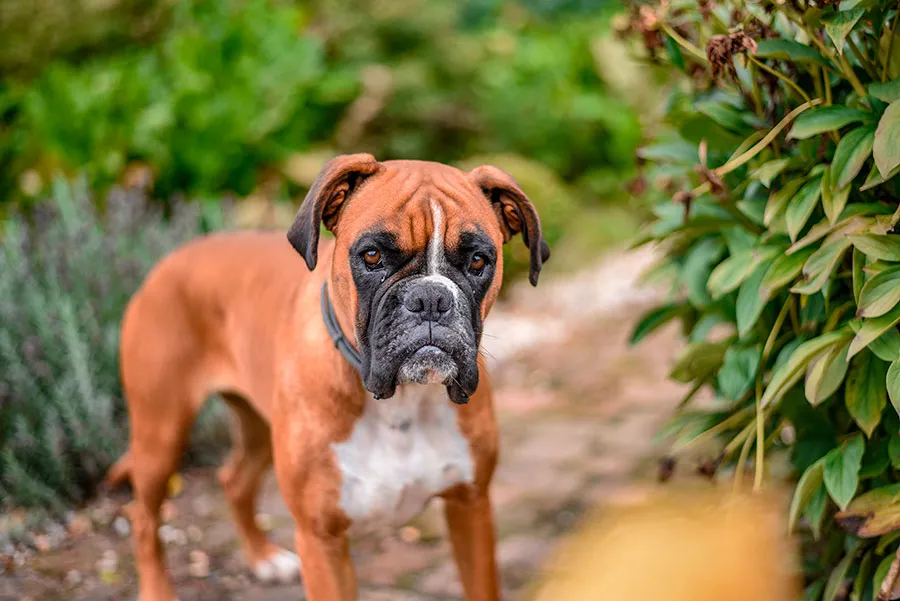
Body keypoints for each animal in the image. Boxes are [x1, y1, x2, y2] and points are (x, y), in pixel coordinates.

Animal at [109, 155, 552, 600]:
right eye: (371, 255)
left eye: (478, 260)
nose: (430, 297)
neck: (403, 402)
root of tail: (170, 261)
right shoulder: (321, 540)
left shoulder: (471, 507)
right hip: (161, 433)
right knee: (144, 518)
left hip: (257, 426)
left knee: (233, 480)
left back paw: (263, 557)